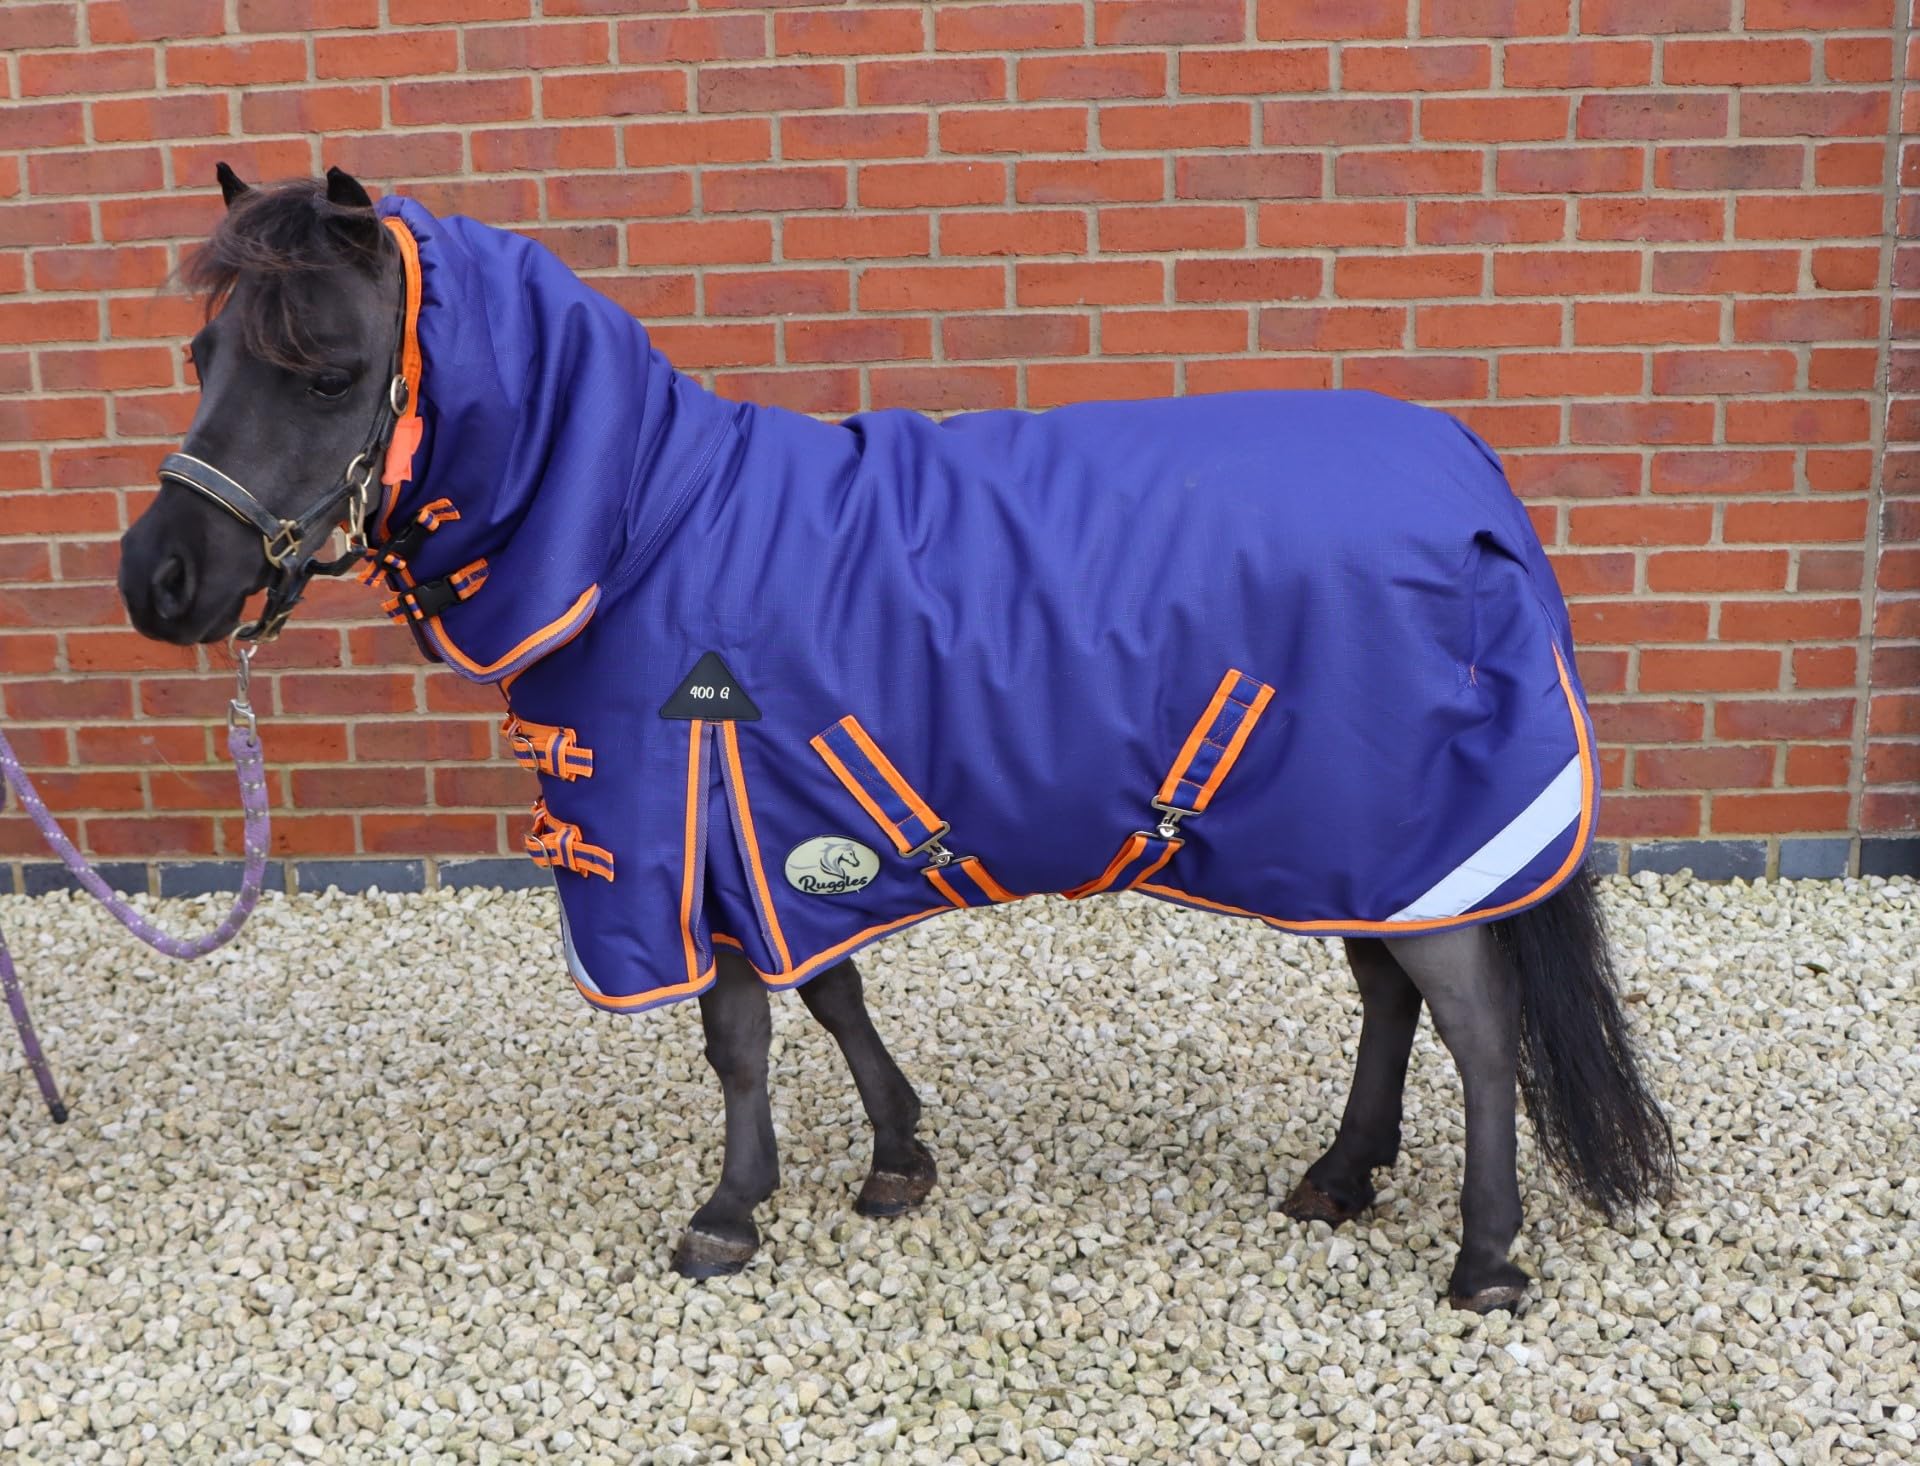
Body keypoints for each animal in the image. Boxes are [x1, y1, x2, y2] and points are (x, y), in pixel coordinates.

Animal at [119, 167, 1673, 1311]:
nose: (157, 580)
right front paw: (896, 1156)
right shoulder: (771, 823)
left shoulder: (688, 820)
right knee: (1390, 996)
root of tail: (1469, 479)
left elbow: (741, 1034)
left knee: (1476, 1026)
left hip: (1416, 833)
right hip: (1366, 842)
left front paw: (731, 1210)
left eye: (328, 372)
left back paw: (1484, 1255)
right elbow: (830, 993)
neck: (643, 527)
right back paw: (1341, 1176)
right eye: (200, 352)